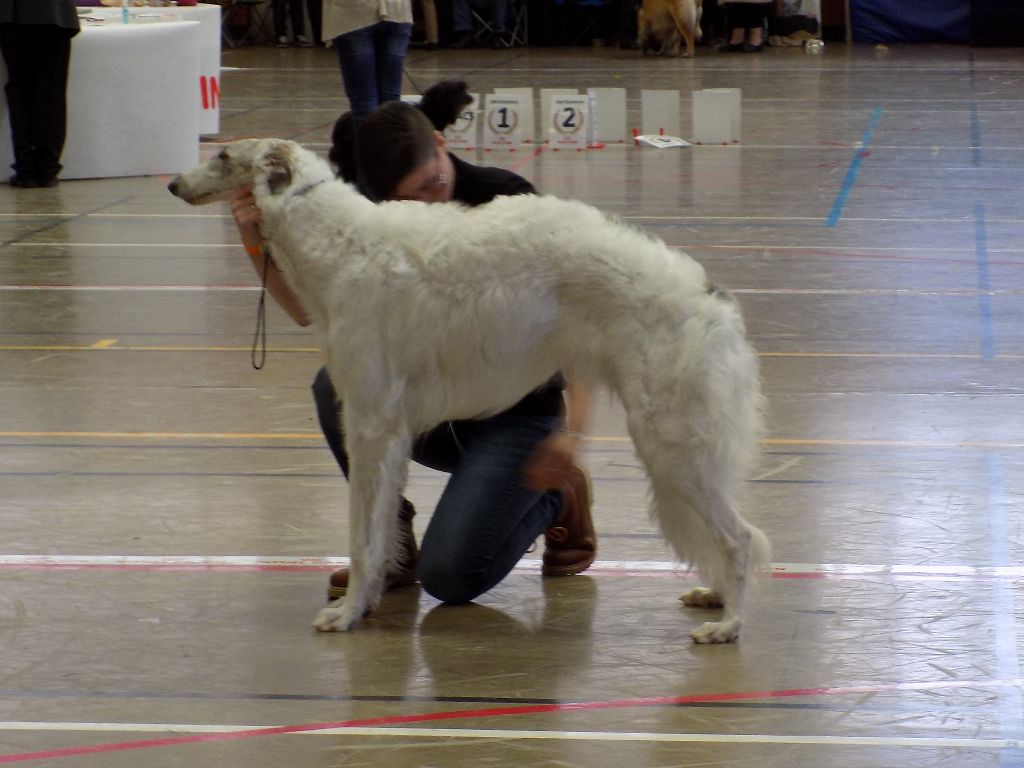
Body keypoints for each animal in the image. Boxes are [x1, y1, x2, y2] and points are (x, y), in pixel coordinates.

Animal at [169, 138, 770, 643]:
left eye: (222, 155)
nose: (173, 183)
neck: (336, 240)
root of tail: (708, 294)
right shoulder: (386, 432)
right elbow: (384, 528)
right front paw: (371, 597)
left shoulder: (370, 422)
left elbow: (363, 536)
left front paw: (347, 613)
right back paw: (713, 596)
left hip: (672, 443)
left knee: (741, 538)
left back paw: (731, 624)